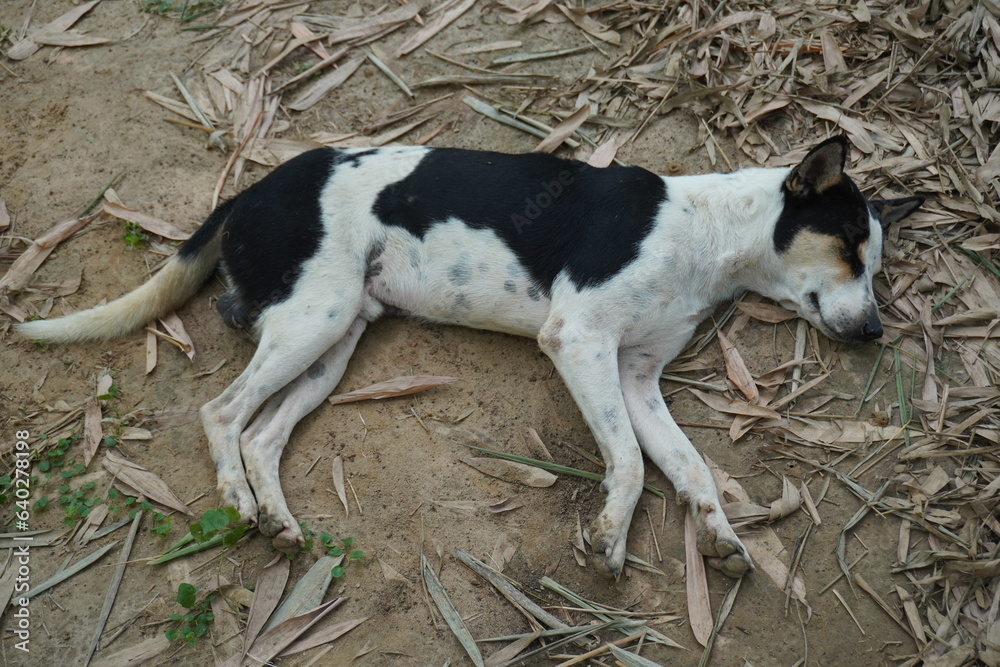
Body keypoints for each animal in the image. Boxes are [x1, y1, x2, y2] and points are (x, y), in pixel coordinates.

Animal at [15, 134, 920, 580]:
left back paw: (278, 520)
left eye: (878, 264)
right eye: (849, 248)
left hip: (333, 341)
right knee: (221, 411)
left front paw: (721, 538)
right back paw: (239, 502)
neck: (703, 233)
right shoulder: (579, 341)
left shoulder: (634, 376)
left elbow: (690, 466)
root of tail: (248, 189)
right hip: (315, 318)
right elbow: (629, 465)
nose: (877, 333)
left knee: (263, 433)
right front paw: (609, 540)